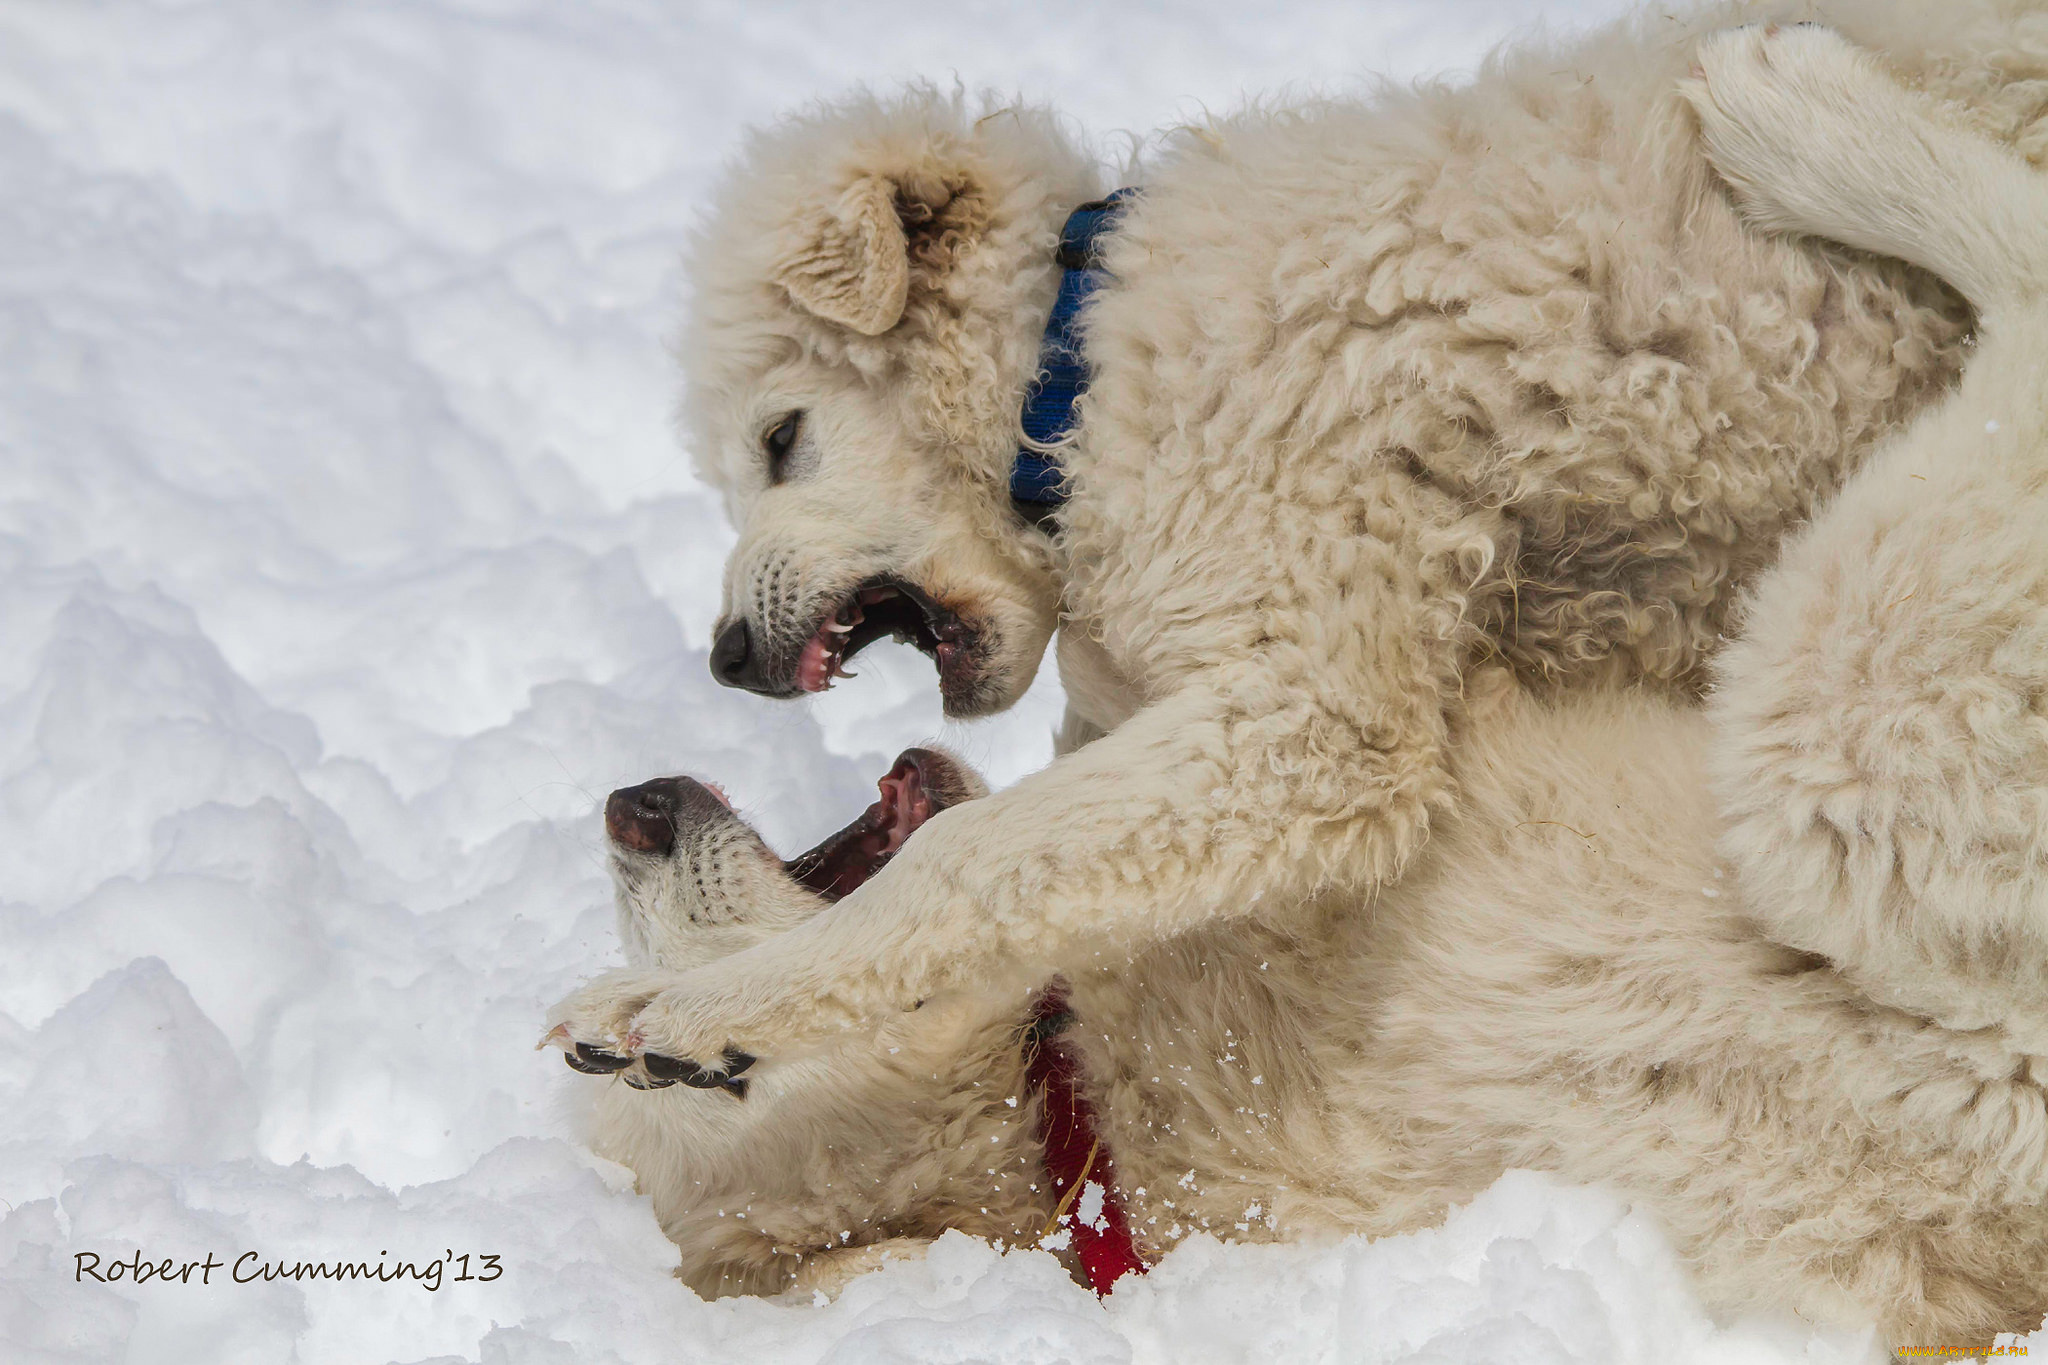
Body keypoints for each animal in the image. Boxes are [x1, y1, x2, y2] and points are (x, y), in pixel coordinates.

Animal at [552, 26, 2048, 1350]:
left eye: (780, 439)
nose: (726, 659)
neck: (1072, 363)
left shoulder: (1310, 691)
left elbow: (975, 859)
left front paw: (684, 1016)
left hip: (1832, 732)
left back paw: (1800, 116)